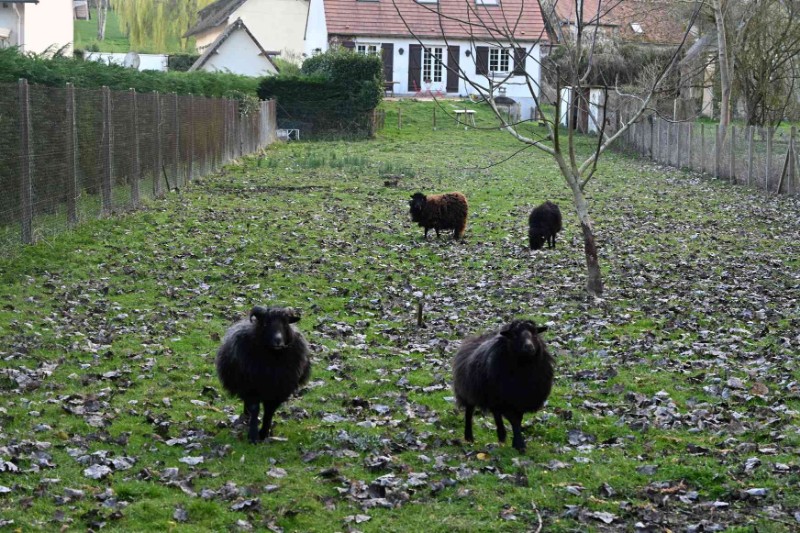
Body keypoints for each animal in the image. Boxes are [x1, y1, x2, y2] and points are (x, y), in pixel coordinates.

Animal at [216, 306, 311, 444]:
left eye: (285, 323)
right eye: (266, 323)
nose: (278, 340)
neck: (272, 360)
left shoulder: (278, 391)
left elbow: (269, 412)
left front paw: (264, 433)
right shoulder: (251, 388)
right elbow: (255, 409)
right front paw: (253, 436)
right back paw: (246, 417)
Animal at [452, 319, 554, 452]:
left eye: (535, 333)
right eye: (514, 335)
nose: (529, 347)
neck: (524, 368)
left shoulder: (519, 400)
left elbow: (518, 420)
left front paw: (516, 443)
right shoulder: (506, 400)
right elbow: (514, 421)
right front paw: (520, 445)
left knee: (496, 414)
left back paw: (501, 436)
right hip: (469, 392)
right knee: (469, 413)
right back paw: (469, 437)